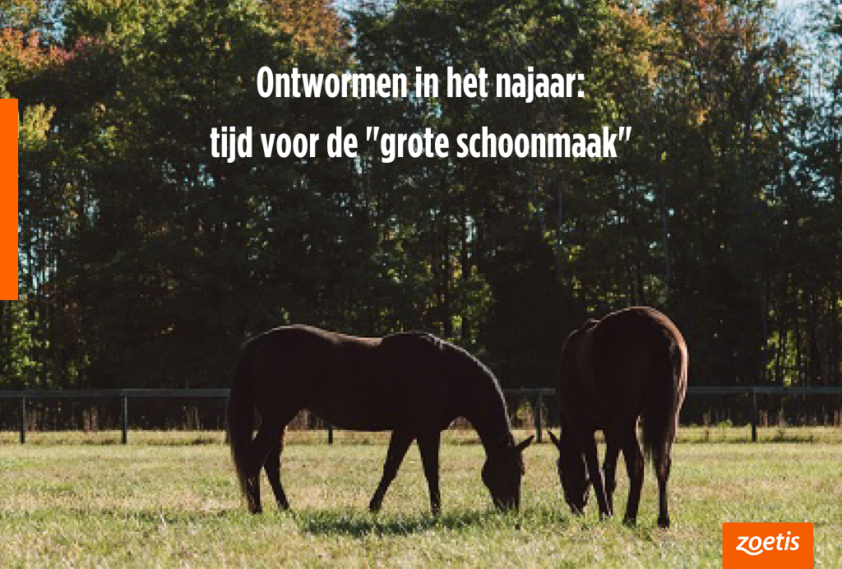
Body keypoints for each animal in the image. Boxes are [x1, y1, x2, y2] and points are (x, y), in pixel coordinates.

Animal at [227, 325, 534, 515]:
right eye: (513, 470)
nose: (511, 512)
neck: (446, 371)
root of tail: (259, 342)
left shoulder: (407, 428)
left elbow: (391, 468)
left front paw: (374, 507)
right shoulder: (425, 429)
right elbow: (429, 470)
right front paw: (436, 512)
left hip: (278, 420)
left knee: (270, 462)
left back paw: (285, 507)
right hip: (278, 416)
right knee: (255, 458)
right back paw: (257, 509)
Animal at [548, 306, 688, 528]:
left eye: (561, 470)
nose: (576, 506)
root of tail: (658, 330)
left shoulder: (583, 426)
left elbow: (596, 470)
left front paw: (605, 512)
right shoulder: (611, 429)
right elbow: (609, 470)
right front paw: (609, 510)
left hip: (626, 420)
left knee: (637, 463)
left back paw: (630, 517)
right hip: (670, 416)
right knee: (663, 462)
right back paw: (663, 518)